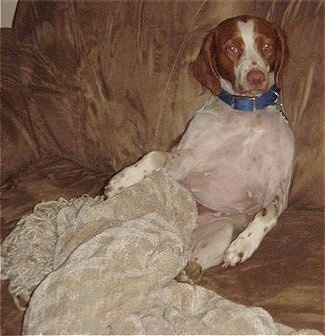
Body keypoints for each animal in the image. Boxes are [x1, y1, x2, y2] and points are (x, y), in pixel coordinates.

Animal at [104, 15, 294, 272]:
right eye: (231, 49)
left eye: (266, 46)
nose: (256, 77)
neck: (248, 114)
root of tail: (185, 234)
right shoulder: (186, 157)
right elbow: (155, 156)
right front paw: (123, 179)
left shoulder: (278, 186)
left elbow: (268, 212)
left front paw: (244, 244)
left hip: (221, 230)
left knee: (188, 263)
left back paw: (188, 273)